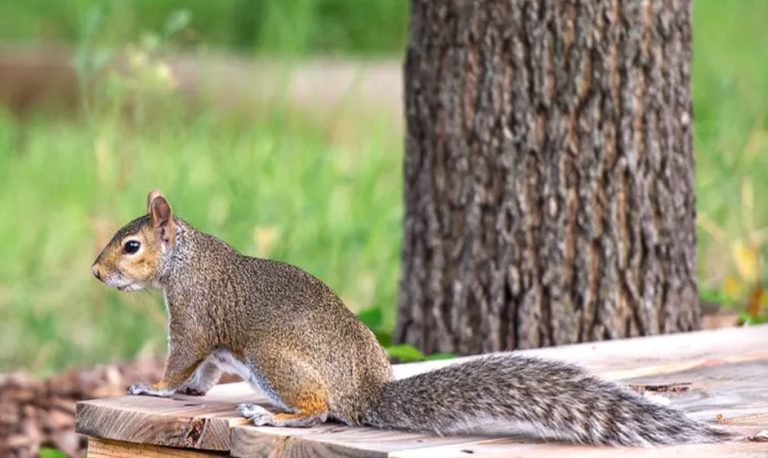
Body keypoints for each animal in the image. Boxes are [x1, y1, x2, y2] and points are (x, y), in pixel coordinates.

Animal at [91, 191, 732, 448]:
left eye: (130, 246)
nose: (96, 274)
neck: (186, 259)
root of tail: (365, 390)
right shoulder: (212, 345)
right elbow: (200, 375)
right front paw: (184, 393)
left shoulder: (195, 318)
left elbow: (181, 362)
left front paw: (153, 386)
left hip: (272, 358)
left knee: (320, 409)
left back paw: (271, 415)